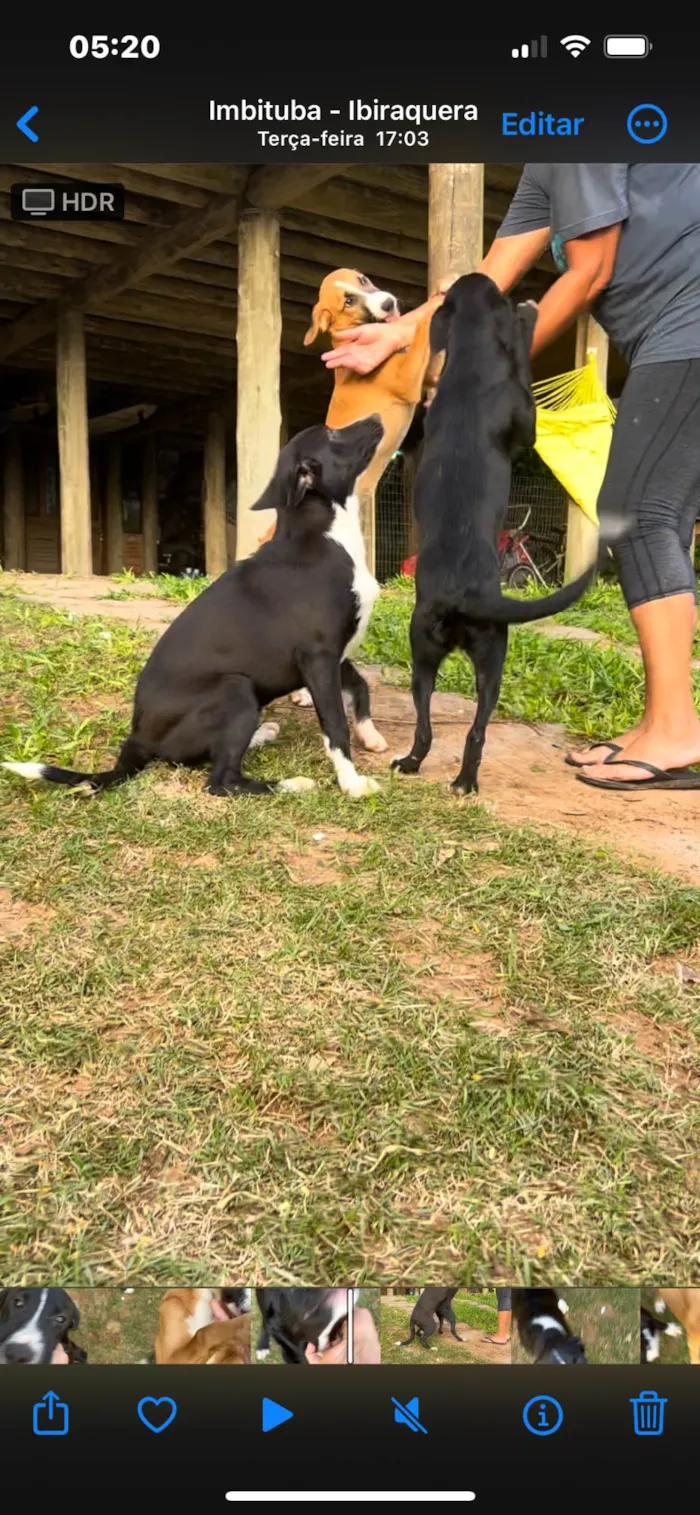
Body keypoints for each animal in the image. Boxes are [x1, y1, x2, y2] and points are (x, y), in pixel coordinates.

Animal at [393, 274, 603, 799]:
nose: (519, 295)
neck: (470, 360)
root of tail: (462, 593)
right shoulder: (525, 422)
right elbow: (524, 376)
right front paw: (527, 318)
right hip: (492, 655)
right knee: (476, 730)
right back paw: (466, 780)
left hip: (424, 655)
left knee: (425, 725)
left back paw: (414, 764)